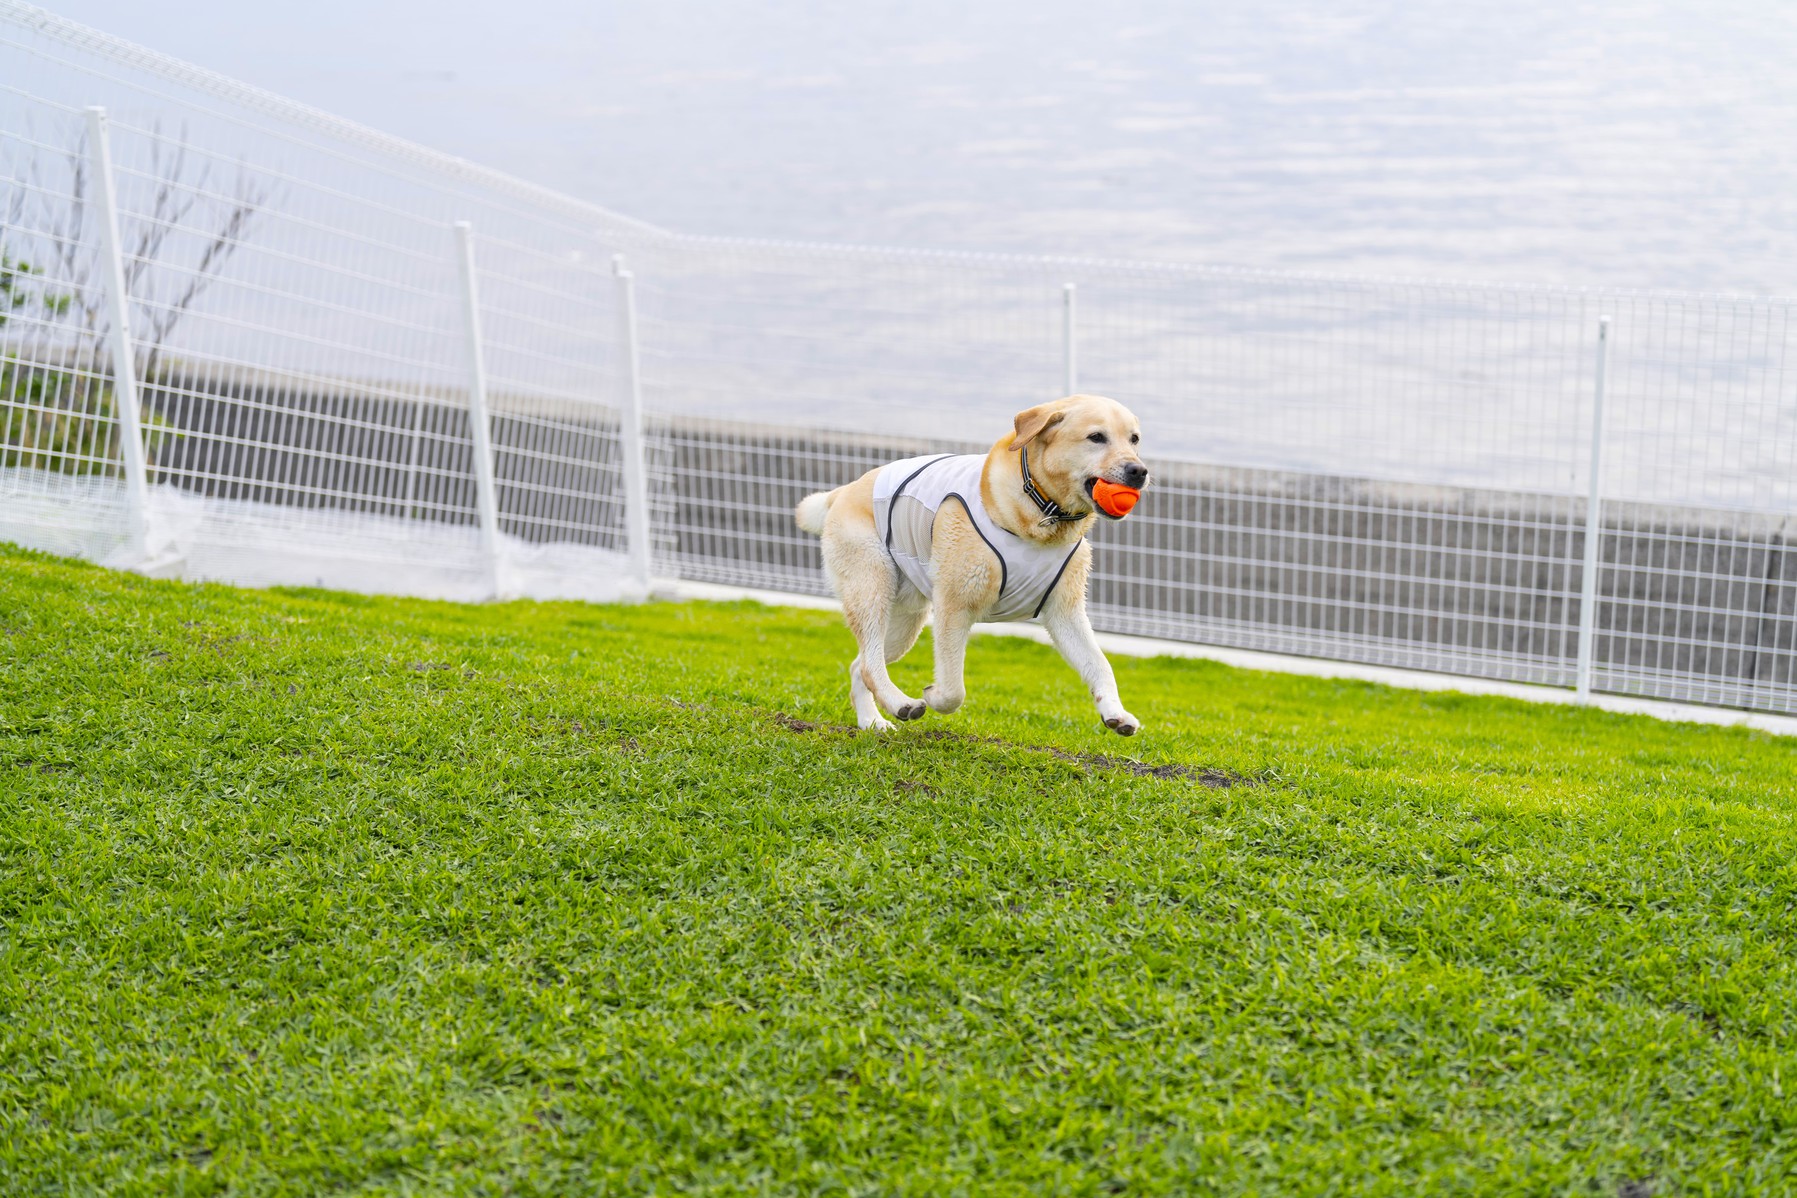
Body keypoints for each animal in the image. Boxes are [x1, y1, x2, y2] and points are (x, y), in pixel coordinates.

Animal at [797, 395, 1150, 732]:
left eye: (1134, 439)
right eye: (1096, 437)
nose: (1139, 472)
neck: (1041, 510)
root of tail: (843, 491)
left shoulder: (1066, 613)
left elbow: (1100, 664)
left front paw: (1115, 713)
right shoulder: (955, 605)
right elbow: (954, 689)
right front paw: (933, 695)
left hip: (906, 619)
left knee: (860, 664)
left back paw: (873, 721)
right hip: (873, 588)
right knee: (870, 662)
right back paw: (901, 704)